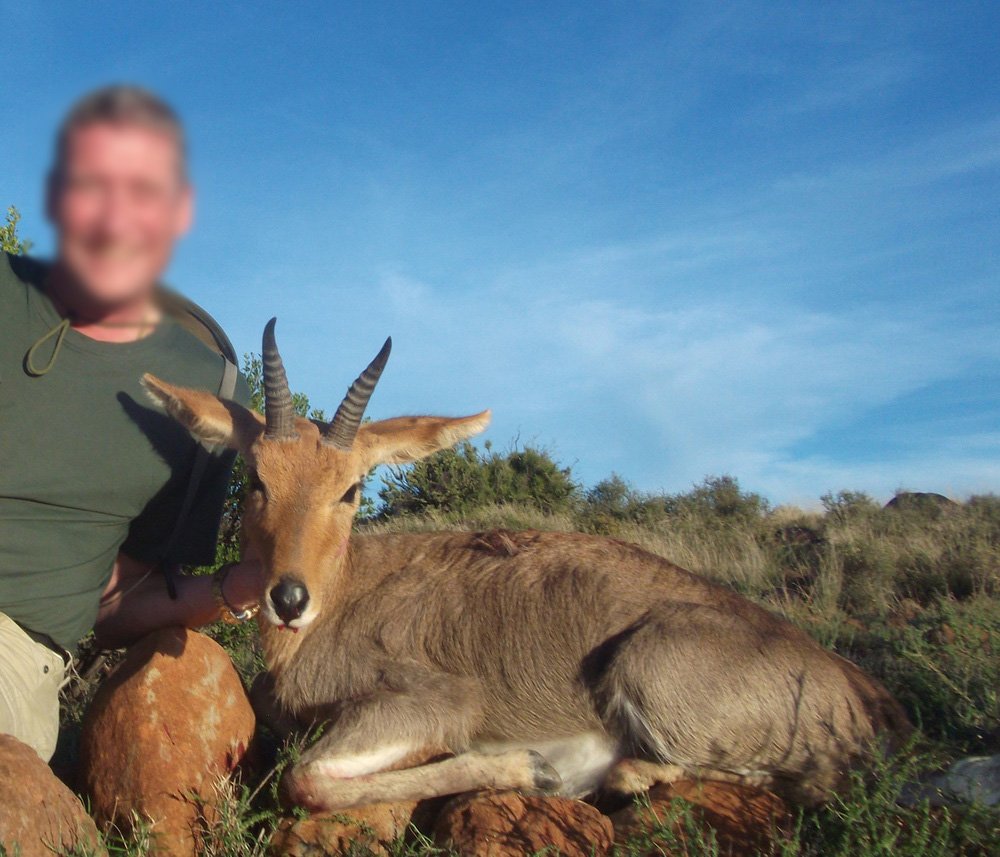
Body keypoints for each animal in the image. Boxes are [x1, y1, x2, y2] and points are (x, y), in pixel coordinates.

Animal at [143, 320, 916, 808]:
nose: (289, 599)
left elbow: (307, 779)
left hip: (649, 667)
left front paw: (533, 767)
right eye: (257, 477)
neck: (349, 589)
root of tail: (859, 690)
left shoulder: (439, 700)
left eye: (352, 488)